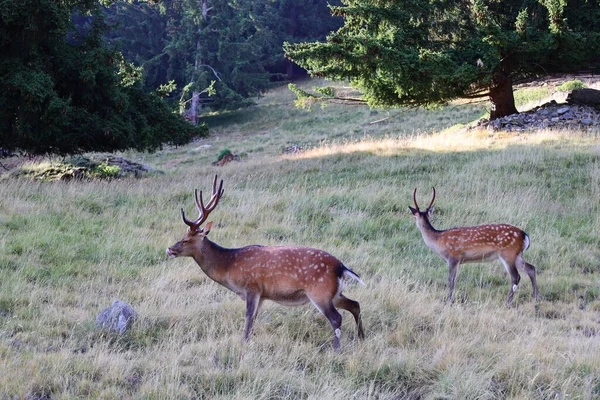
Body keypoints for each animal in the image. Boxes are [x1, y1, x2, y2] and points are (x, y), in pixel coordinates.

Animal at [165, 175, 366, 350]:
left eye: (185, 240)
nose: (169, 249)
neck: (229, 266)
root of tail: (341, 267)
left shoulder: (252, 287)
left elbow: (248, 317)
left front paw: (243, 343)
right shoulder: (262, 295)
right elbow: (254, 319)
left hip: (320, 292)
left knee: (337, 318)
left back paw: (336, 348)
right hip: (334, 293)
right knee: (355, 304)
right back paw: (361, 337)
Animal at [408, 188, 540, 304]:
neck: (438, 240)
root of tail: (524, 235)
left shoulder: (453, 258)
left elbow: (451, 280)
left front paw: (448, 301)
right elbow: (454, 280)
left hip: (508, 253)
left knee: (515, 276)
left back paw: (508, 302)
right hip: (517, 255)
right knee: (531, 268)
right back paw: (536, 297)